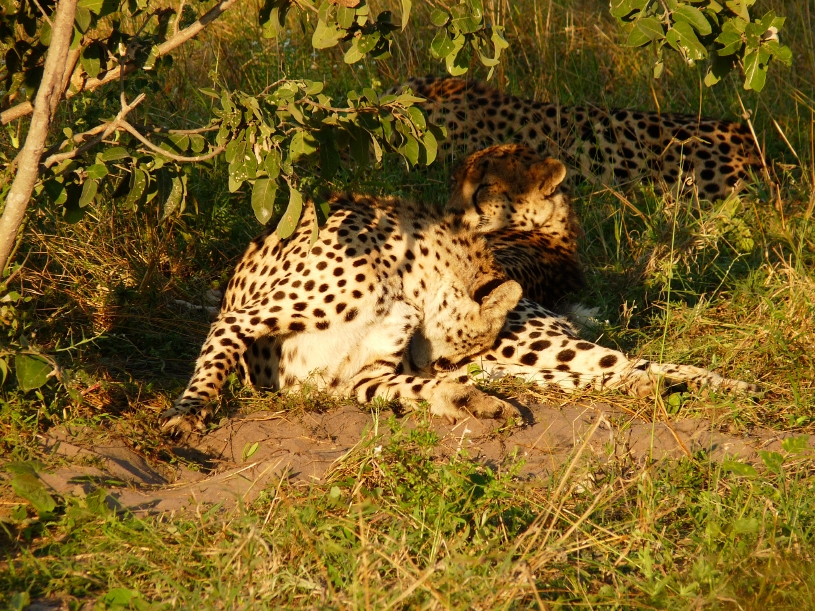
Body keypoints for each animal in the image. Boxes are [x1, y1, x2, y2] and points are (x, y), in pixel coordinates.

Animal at [162, 191, 526, 432]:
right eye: (462, 352)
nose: (429, 367)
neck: (407, 280)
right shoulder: (238, 320)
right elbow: (215, 359)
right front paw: (188, 412)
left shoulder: (356, 379)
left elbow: (413, 386)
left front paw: (475, 401)